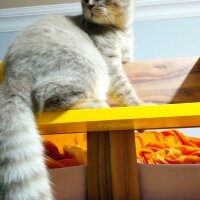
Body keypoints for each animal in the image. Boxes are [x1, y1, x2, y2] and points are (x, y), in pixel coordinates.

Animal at [0, 0, 145, 199]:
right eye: (84, 1)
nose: (89, 5)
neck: (122, 28)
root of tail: (12, 74)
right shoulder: (111, 63)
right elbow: (126, 88)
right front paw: (139, 104)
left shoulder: (126, 58)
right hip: (89, 67)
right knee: (45, 99)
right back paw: (97, 103)